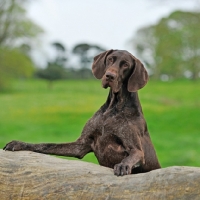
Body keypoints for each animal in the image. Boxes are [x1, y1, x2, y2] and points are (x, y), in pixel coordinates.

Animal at [3, 49, 160, 176]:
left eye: (126, 64)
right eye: (110, 59)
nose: (109, 76)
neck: (113, 108)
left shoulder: (137, 151)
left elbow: (131, 156)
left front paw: (123, 165)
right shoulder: (80, 145)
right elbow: (45, 145)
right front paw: (20, 143)